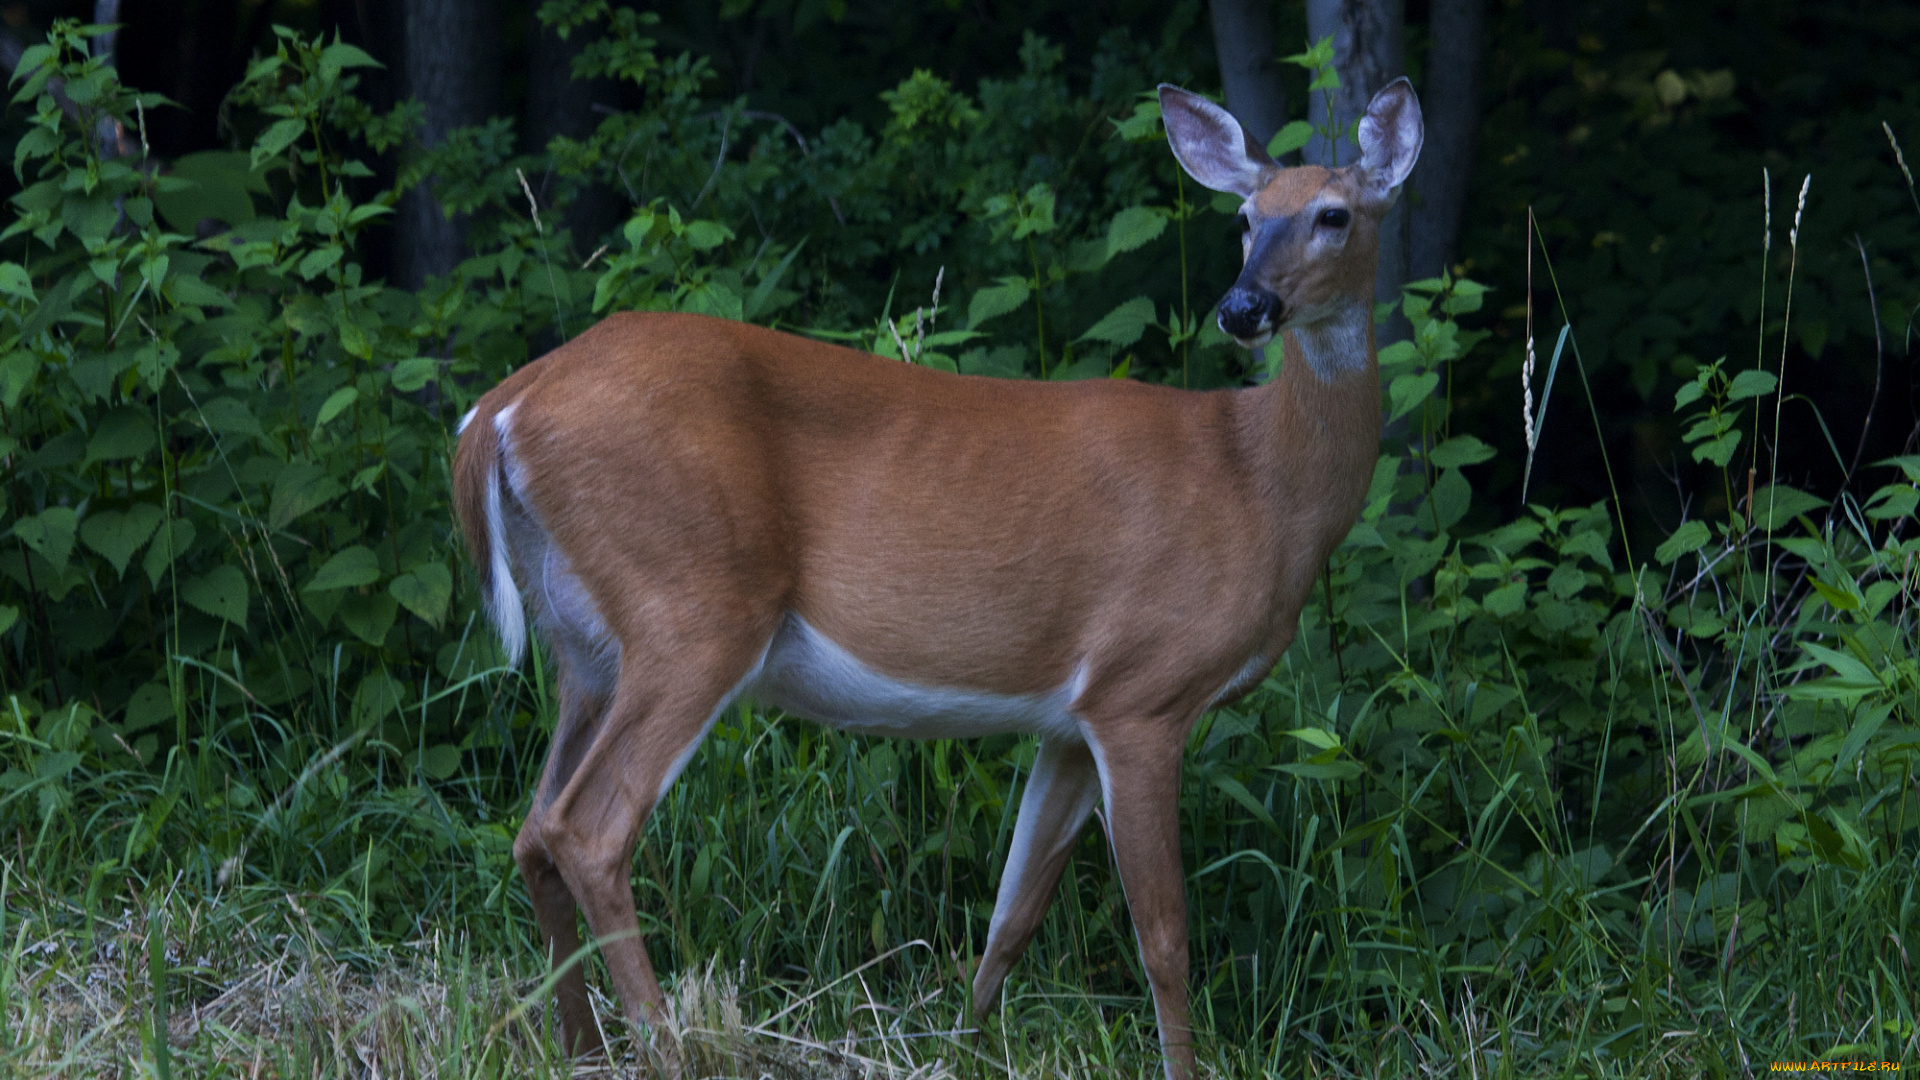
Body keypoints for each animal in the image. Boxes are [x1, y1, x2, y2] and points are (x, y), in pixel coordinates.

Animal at [445, 77, 1413, 1076]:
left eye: (1334, 214)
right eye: (1245, 218)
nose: (1243, 306)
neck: (1258, 483)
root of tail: (500, 411)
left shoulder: (1070, 719)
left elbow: (1011, 914)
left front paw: (966, 1045)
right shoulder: (1144, 691)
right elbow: (1165, 935)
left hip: (586, 647)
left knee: (533, 829)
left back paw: (581, 1044)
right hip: (694, 607)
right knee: (589, 829)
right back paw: (671, 1045)